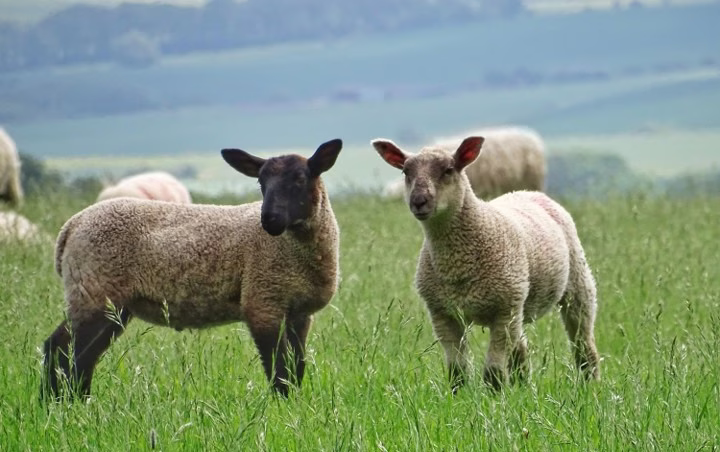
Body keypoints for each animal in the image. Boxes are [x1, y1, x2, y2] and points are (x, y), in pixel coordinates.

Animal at [42, 138, 343, 401]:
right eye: (261, 182)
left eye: (300, 179)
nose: (269, 219)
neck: (296, 248)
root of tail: (71, 227)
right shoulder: (263, 302)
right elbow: (278, 369)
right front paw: (282, 408)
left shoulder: (299, 313)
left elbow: (295, 367)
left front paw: (294, 405)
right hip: (94, 290)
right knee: (61, 349)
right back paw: (57, 405)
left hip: (109, 303)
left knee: (80, 355)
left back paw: (75, 403)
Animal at [372, 135, 599, 392]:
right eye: (405, 172)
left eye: (449, 170)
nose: (418, 201)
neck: (457, 264)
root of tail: (527, 192)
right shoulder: (443, 314)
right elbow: (457, 371)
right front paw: (459, 396)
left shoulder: (503, 312)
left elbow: (493, 372)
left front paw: (495, 397)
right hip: (517, 304)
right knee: (521, 349)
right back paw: (523, 386)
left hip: (575, 285)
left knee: (583, 341)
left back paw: (590, 383)